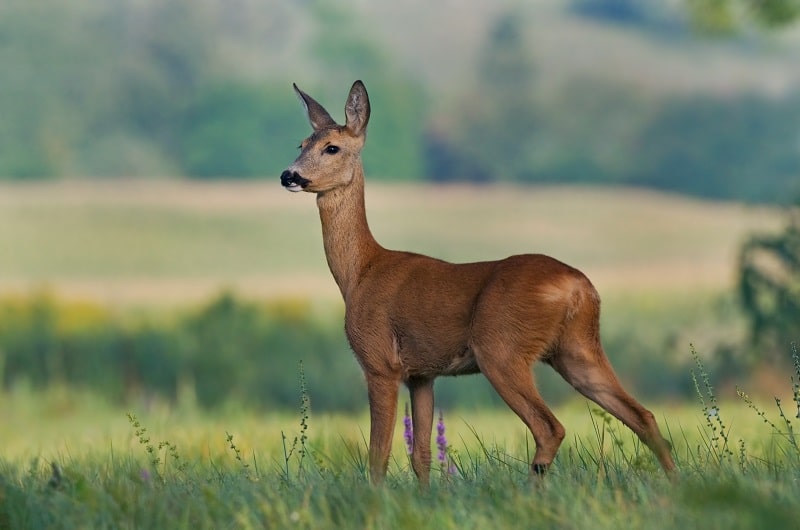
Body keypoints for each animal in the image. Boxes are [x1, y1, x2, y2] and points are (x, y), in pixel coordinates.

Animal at [280, 79, 676, 482]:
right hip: (576, 348)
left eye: (332, 147)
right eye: (301, 144)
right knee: (644, 416)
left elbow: (379, 454)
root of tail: (580, 287)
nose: (289, 176)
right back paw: (675, 484)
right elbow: (421, 454)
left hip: (501, 347)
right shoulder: (422, 374)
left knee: (550, 427)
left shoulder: (379, 362)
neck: (361, 272)